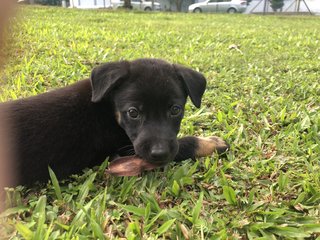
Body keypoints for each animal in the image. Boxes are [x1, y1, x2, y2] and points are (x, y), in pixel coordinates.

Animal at [1, 58, 229, 186]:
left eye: (175, 110)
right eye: (133, 113)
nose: (159, 154)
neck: (108, 108)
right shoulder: (126, 149)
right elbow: (183, 144)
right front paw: (211, 143)